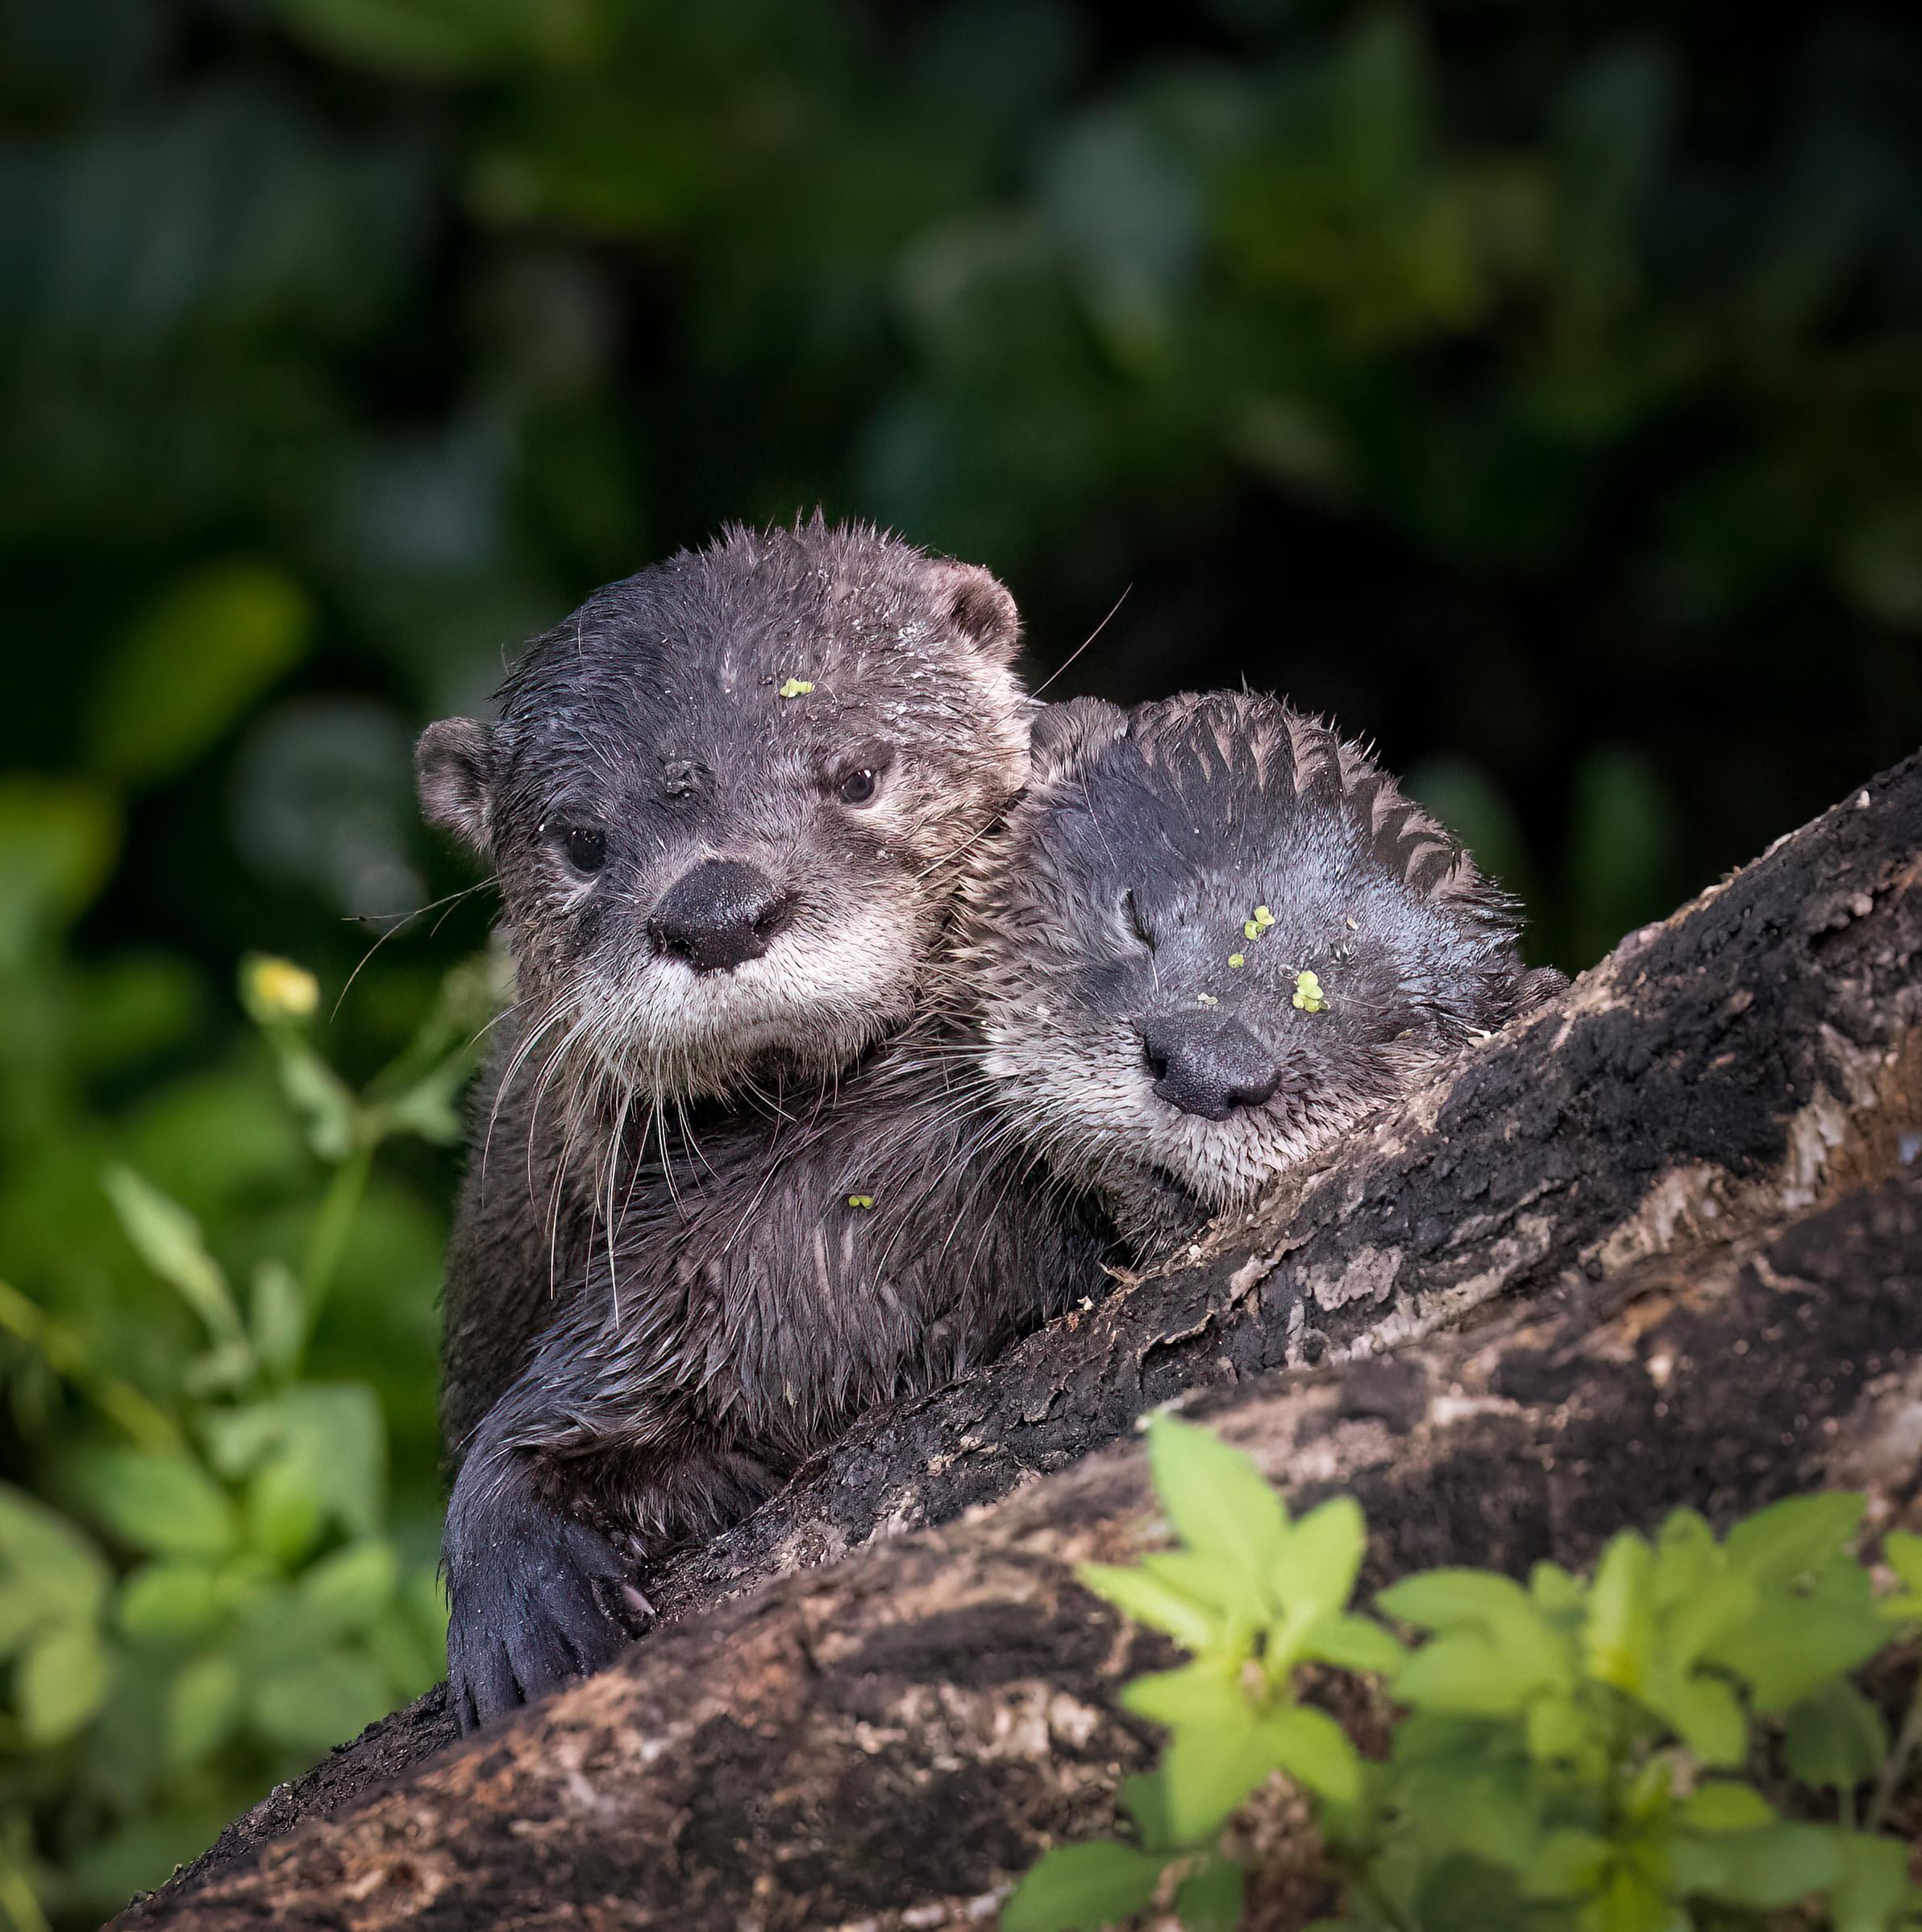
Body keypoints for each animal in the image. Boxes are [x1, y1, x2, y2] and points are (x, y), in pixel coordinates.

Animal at [438, 685, 1558, 1730]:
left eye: (1385, 1022)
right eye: (1137, 915)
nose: (1206, 1062)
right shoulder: (722, 1252)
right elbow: (568, 1399)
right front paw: (531, 1609)